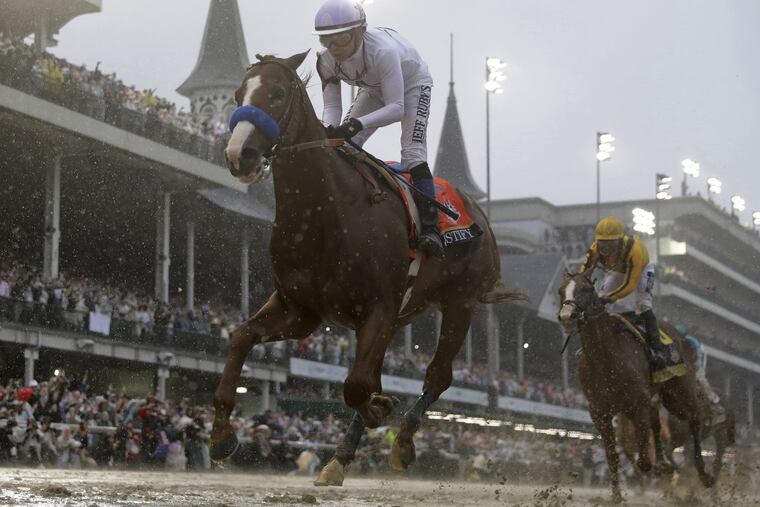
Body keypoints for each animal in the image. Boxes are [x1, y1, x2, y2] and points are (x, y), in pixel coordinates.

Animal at [210, 51, 521, 486]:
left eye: (276, 93)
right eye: (239, 94)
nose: (240, 154)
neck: (325, 212)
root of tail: (481, 219)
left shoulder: (378, 308)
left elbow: (357, 386)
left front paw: (381, 410)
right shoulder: (301, 311)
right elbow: (240, 337)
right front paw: (222, 435)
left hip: (461, 304)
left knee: (437, 375)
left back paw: (402, 442)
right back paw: (339, 459)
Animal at [558, 272, 714, 502]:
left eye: (585, 290)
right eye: (561, 290)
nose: (567, 316)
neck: (604, 357)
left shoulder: (637, 405)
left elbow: (644, 461)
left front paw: (659, 469)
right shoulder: (600, 412)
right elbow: (613, 456)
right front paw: (616, 496)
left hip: (679, 394)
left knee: (695, 419)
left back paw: (703, 474)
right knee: (658, 425)